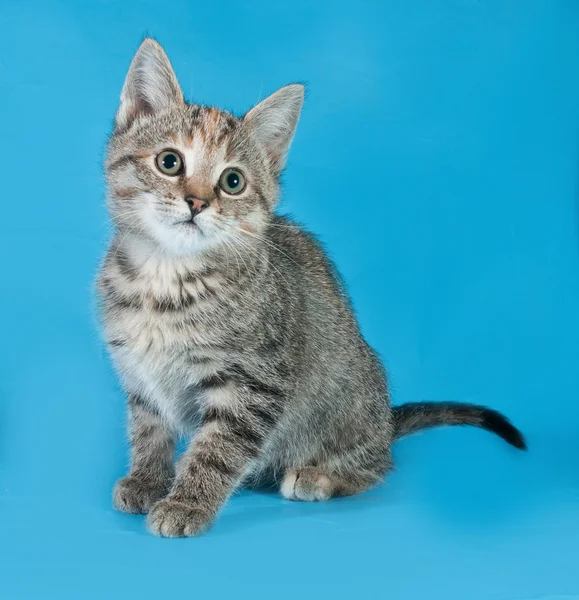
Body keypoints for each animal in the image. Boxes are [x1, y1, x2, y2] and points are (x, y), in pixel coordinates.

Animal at [97, 37, 528, 536]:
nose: (197, 202)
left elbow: (217, 449)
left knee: (380, 464)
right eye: (169, 162)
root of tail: (385, 422)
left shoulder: (254, 383)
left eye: (232, 181)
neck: (166, 279)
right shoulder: (138, 371)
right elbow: (149, 428)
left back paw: (321, 476)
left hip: (350, 402)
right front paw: (147, 480)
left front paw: (187, 503)